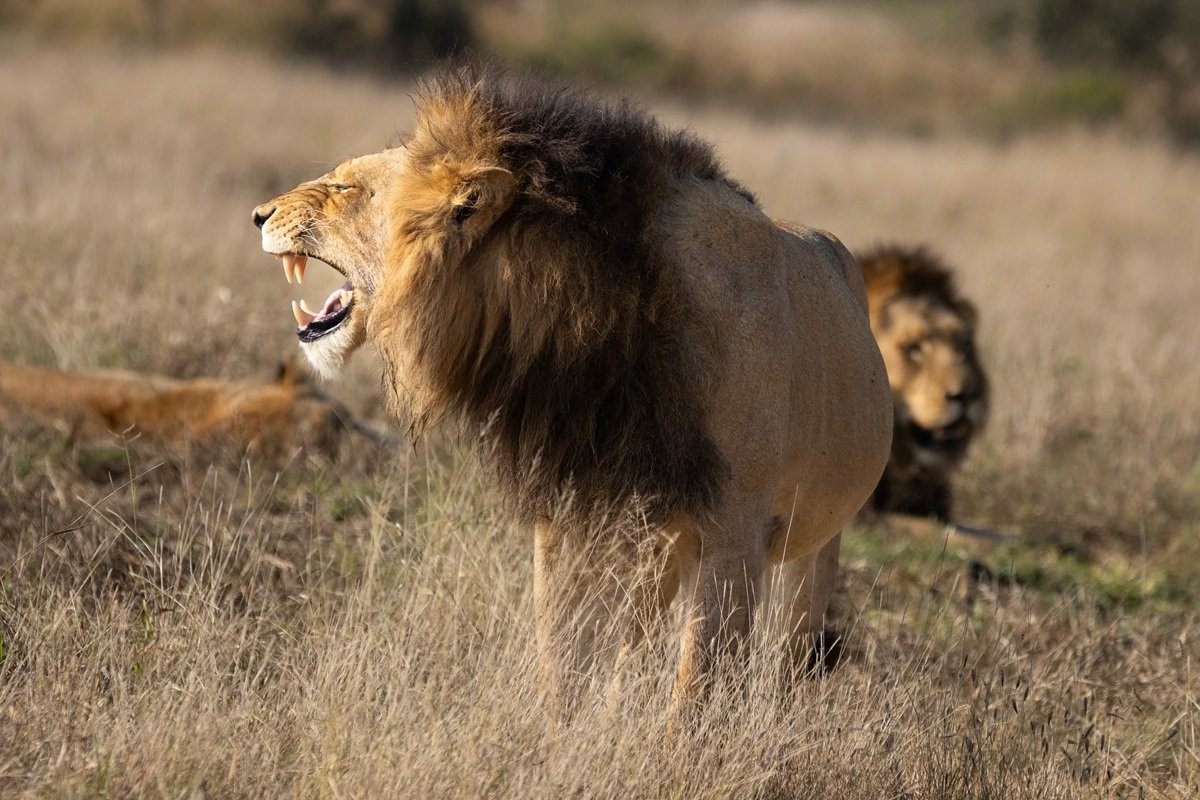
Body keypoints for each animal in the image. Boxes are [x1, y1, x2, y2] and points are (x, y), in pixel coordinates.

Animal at [252, 65, 892, 705]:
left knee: (791, 646)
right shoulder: (571, 510)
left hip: (809, 548)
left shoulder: (733, 536)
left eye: (344, 187)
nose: (259, 214)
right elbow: (563, 657)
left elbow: (694, 687)